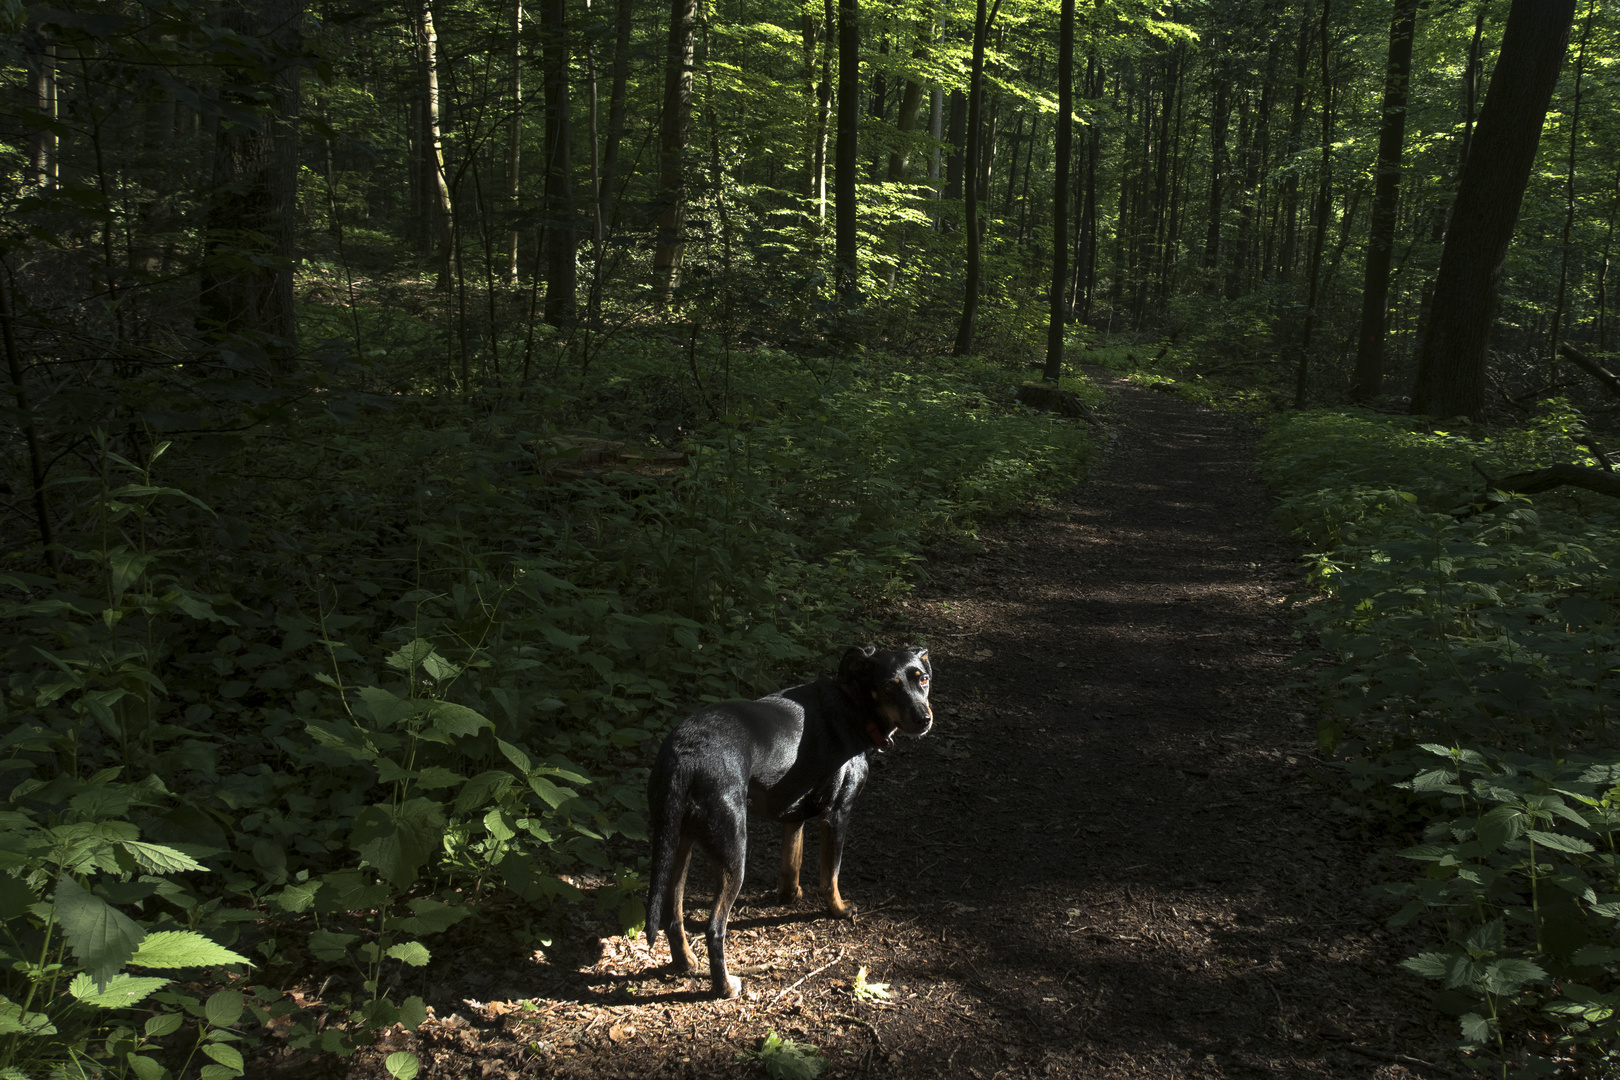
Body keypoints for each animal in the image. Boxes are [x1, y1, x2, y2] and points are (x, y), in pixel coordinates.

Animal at [638, 647, 933, 1003]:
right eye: (889, 686)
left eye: (923, 679)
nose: (924, 718)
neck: (853, 702)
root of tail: (684, 756)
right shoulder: (837, 814)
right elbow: (830, 876)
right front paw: (839, 910)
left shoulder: (794, 814)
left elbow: (792, 861)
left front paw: (790, 895)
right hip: (733, 853)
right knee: (714, 928)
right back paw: (725, 987)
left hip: (678, 843)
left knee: (673, 915)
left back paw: (685, 962)